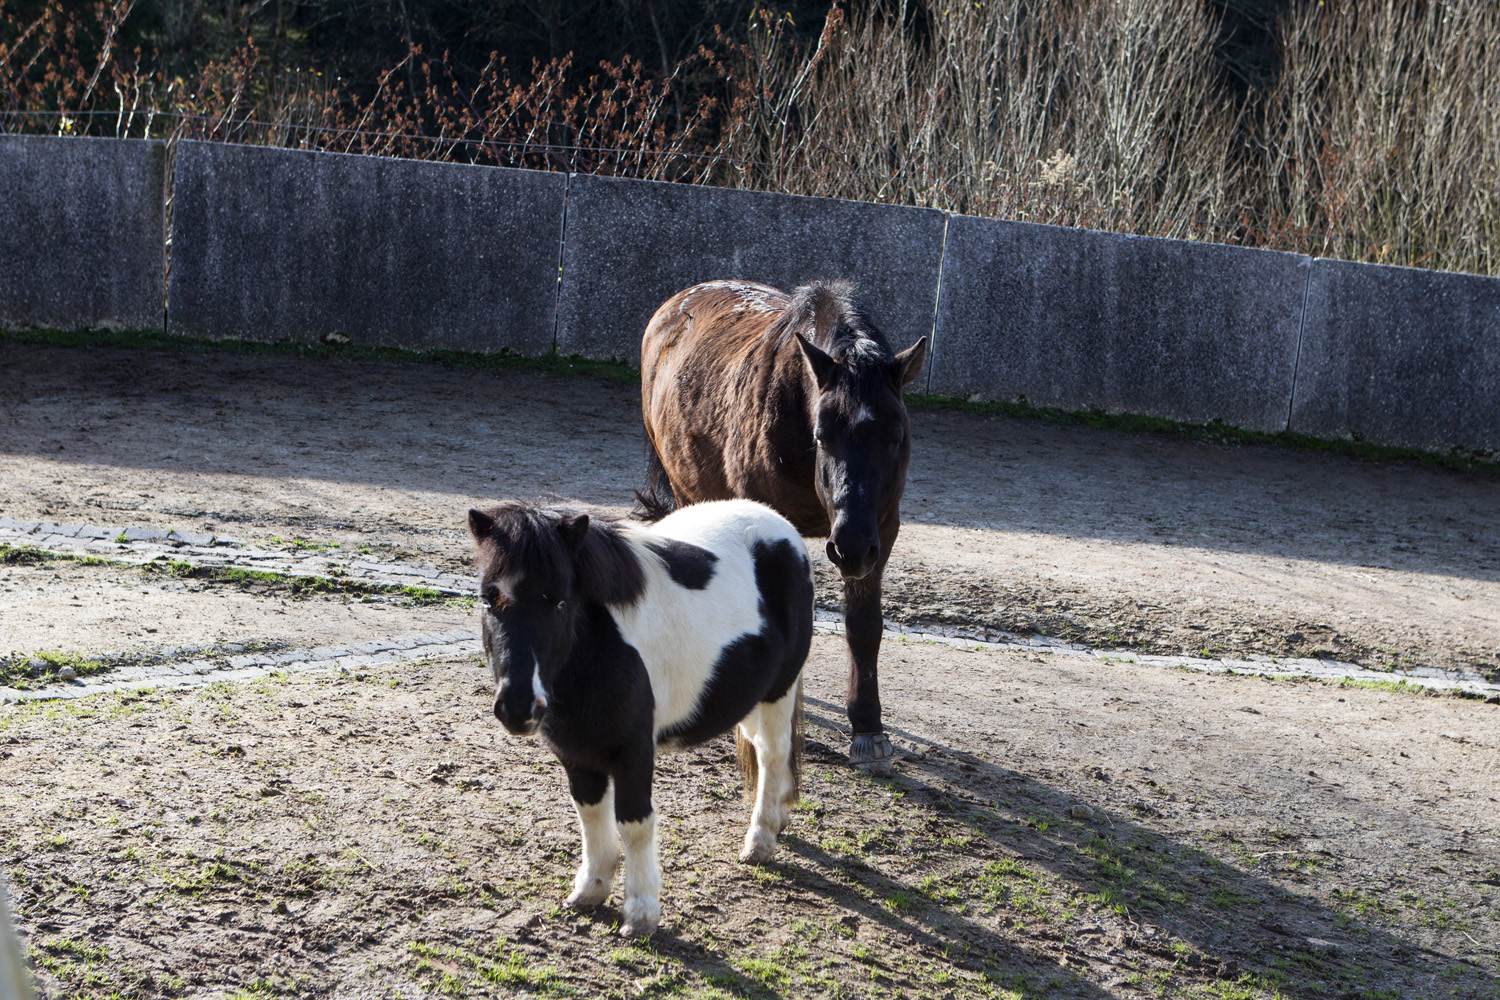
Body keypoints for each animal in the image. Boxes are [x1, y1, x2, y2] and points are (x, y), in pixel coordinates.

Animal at [466, 498, 813, 938]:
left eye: (560, 602)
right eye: (488, 600)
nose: (518, 706)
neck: (598, 651)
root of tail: (781, 527)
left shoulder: (633, 750)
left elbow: (634, 822)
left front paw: (641, 912)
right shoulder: (576, 753)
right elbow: (590, 814)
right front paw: (591, 889)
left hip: (778, 691)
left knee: (772, 753)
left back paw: (761, 839)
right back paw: (781, 814)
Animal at [636, 279, 926, 772]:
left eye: (896, 436)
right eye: (822, 435)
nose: (850, 546)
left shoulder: (882, 531)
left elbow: (864, 626)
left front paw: (868, 728)